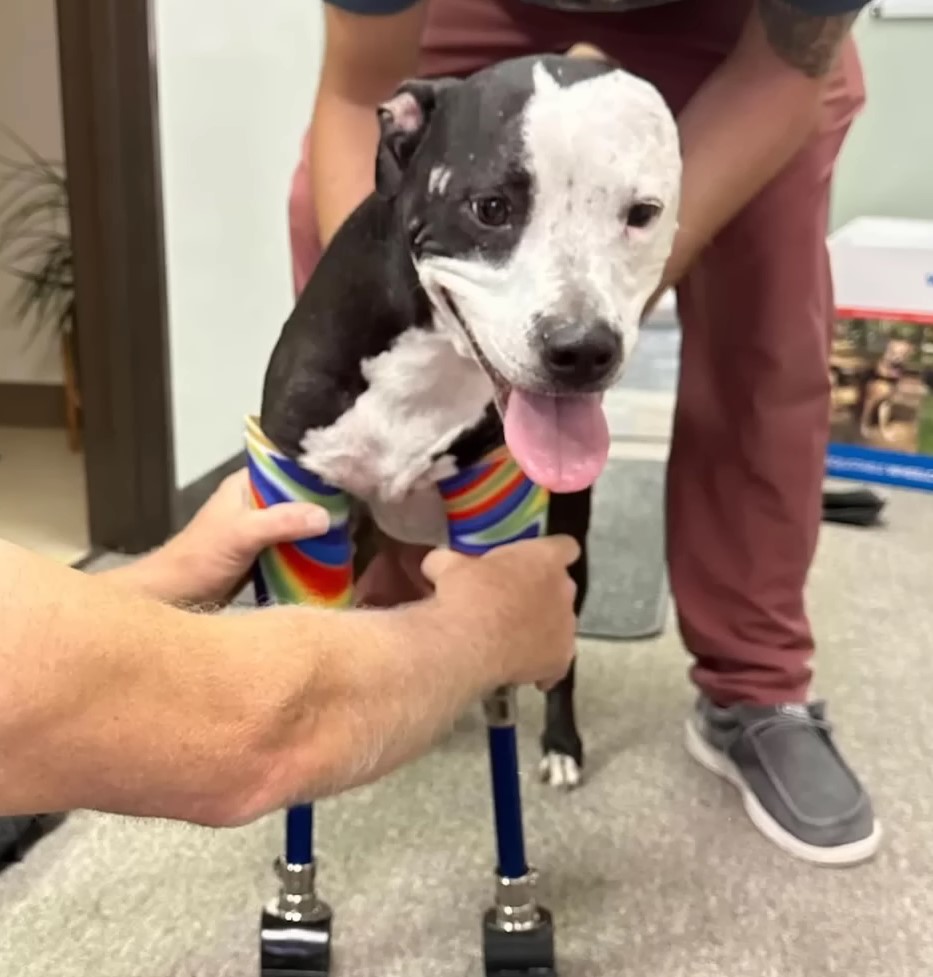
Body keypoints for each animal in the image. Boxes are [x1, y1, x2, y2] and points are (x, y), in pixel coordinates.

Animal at [258, 49, 680, 788]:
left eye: (642, 213)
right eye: (490, 208)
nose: (582, 350)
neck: (429, 356)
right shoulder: (306, 497)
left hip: (568, 557)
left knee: (560, 662)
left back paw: (559, 742)